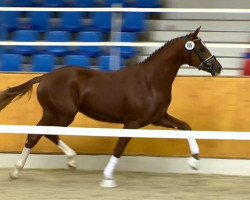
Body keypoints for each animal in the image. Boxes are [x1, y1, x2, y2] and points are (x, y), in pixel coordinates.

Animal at [0, 27, 222, 187]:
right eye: (201, 48)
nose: (218, 68)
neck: (150, 81)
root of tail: (44, 77)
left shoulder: (158, 118)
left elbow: (185, 126)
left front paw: (194, 161)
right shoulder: (133, 122)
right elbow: (120, 147)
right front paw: (107, 177)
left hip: (56, 114)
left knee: (39, 135)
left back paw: (27, 169)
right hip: (63, 115)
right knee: (40, 134)